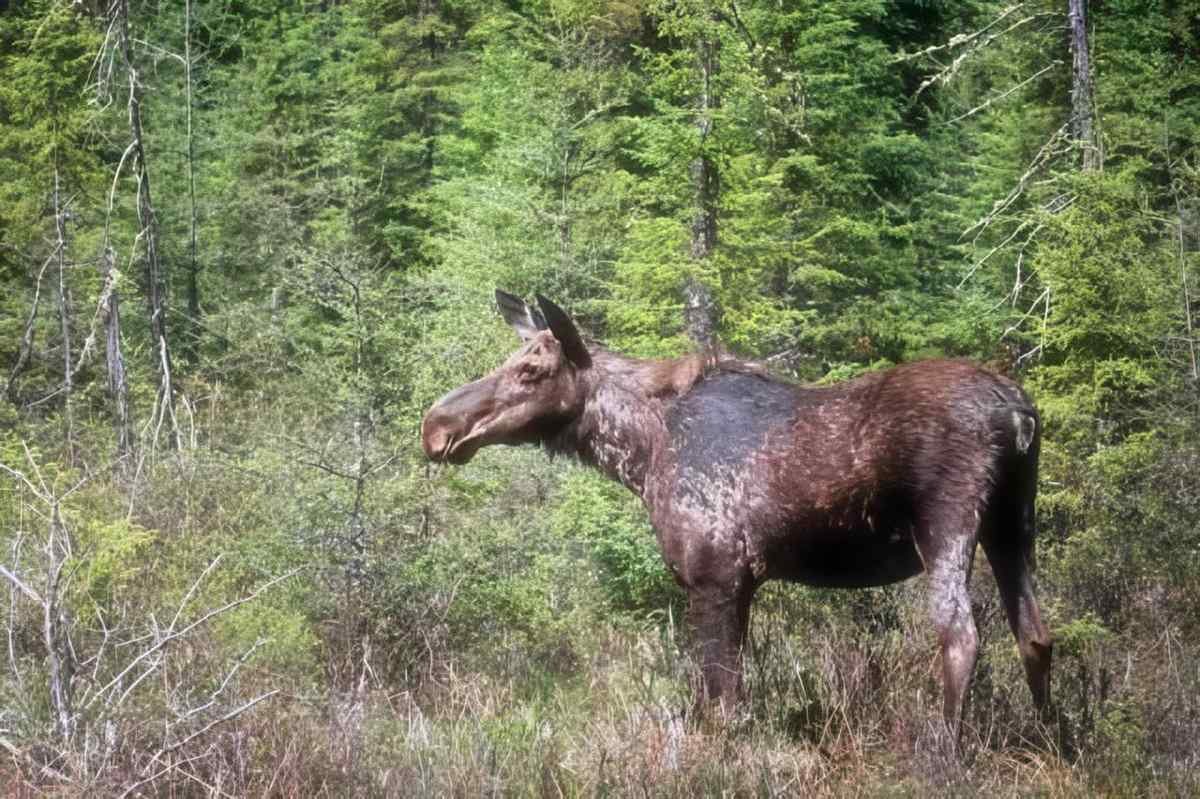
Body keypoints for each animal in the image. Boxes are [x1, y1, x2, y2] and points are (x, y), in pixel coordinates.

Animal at [421, 291, 1053, 741]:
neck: (640, 455)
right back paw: (1052, 744)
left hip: (947, 523)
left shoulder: (714, 574)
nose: (436, 425)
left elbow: (720, 701)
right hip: (1013, 522)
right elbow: (723, 697)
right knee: (1036, 635)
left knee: (961, 635)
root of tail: (1018, 412)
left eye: (530, 371)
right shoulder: (741, 582)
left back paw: (945, 752)